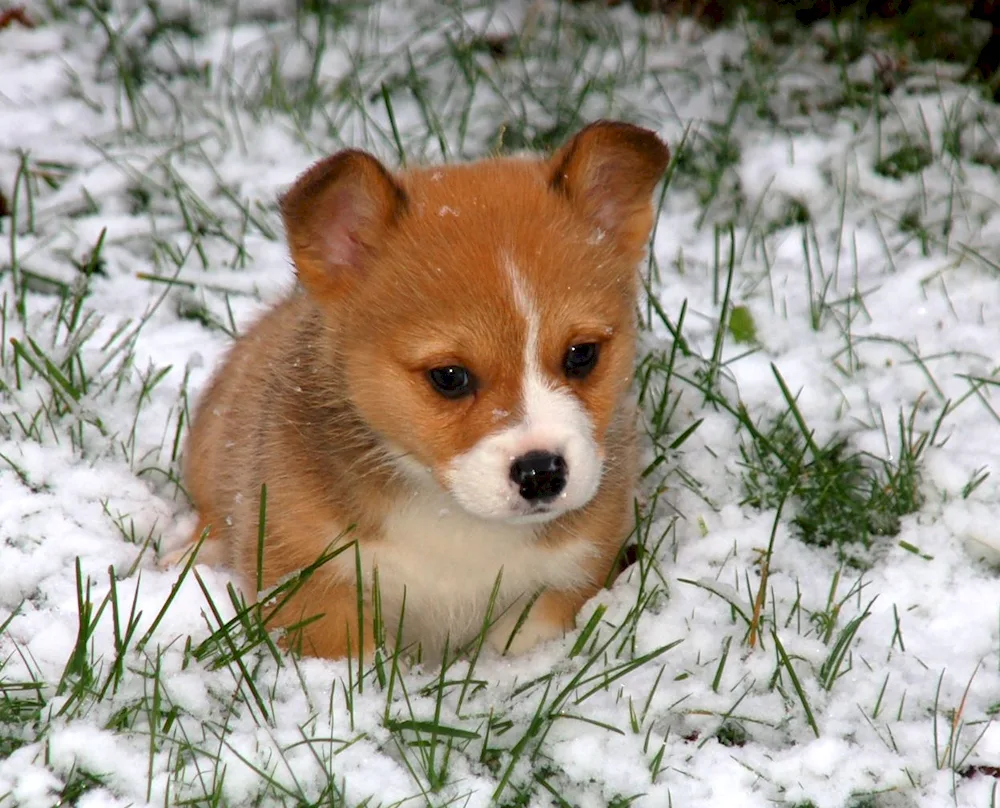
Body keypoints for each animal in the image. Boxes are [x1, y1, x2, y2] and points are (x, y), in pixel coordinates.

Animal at [166, 121, 672, 664]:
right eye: (449, 376)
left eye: (581, 354)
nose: (542, 474)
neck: (452, 516)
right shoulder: (310, 582)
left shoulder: (568, 578)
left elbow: (520, 644)